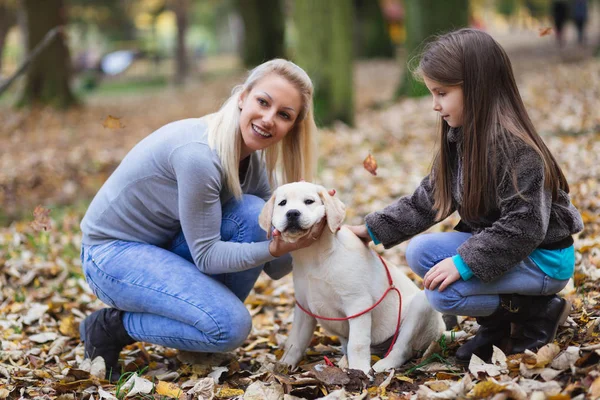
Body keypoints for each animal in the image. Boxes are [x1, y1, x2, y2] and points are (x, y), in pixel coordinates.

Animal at [258, 182, 446, 376]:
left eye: (309, 201)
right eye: (282, 203)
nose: (292, 213)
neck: (313, 255)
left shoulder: (358, 303)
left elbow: (357, 343)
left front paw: (359, 370)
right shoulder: (304, 307)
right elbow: (294, 342)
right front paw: (283, 366)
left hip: (420, 306)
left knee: (403, 348)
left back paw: (383, 365)